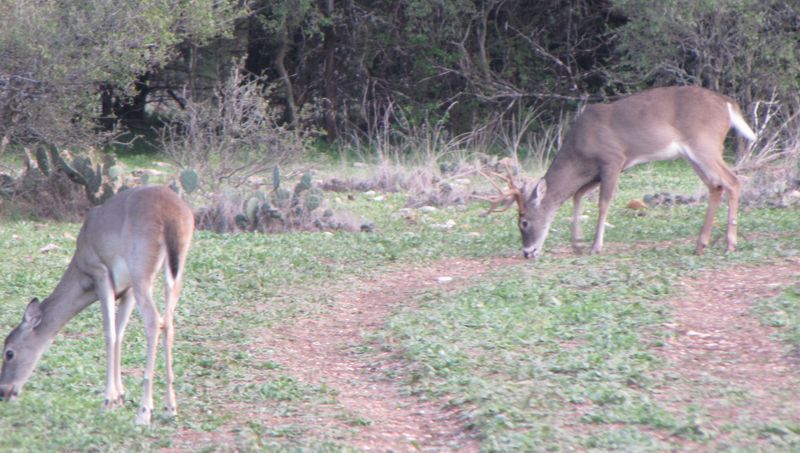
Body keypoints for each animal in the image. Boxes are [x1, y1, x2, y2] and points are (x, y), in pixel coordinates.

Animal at [0, 185, 194, 424]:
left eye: (9, 352)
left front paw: (108, 400)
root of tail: (172, 217)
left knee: (153, 321)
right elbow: (119, 333)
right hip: (175, 271)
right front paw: (119, 396)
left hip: (141, 269)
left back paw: (144, 412)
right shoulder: (127, 290)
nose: (4, 391)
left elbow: (109, 334)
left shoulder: (100, 274)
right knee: (168, 323)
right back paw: (170, 407)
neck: (82, 275)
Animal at [482, 85, 756, 258]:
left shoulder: (612, 159)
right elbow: (577, 195)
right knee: (715, 186)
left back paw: (729, 245)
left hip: (704, 143)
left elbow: (603, 203)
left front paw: (595, 247)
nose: (527, 253)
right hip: (692, 153)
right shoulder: (598, 170)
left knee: (733, 181)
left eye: (524, 222)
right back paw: (701, 245)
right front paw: (577, 244)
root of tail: (727, 103)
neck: (579, 148)